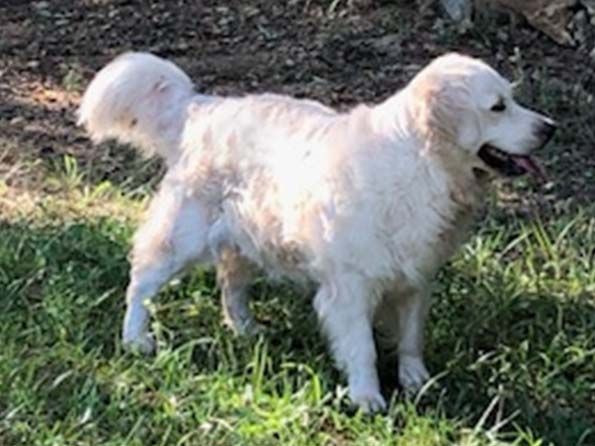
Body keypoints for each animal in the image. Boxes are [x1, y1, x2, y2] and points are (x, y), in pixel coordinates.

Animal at [78, 51, 556, 412]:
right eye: (497, 107)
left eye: (513, 99)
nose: (550, 128)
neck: (421, 163)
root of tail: (202, 108)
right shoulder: (350, 288)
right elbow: (362, 347)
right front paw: (367, 397)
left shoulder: (415, 279)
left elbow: (411, 337)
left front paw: (417, 381)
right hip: (183, 237)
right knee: (141, 283)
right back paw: (136, 338)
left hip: (248, 238)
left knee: (230, 283)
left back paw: (245, 329)